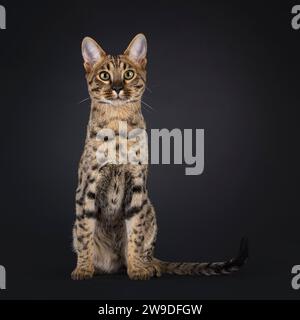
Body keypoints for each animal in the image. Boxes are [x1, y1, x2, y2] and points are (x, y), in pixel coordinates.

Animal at [71, 33, 248, 280]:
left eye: (128, 74)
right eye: (104, 75)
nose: (117, 87)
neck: (118, 125)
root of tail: (112, 264)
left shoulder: (137, 186)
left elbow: (135, 234)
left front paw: (137, 269)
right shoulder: (87, 187)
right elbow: (85, 232)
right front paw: (83, 268)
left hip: (149, 208)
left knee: (146, 250)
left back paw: (148, 266)